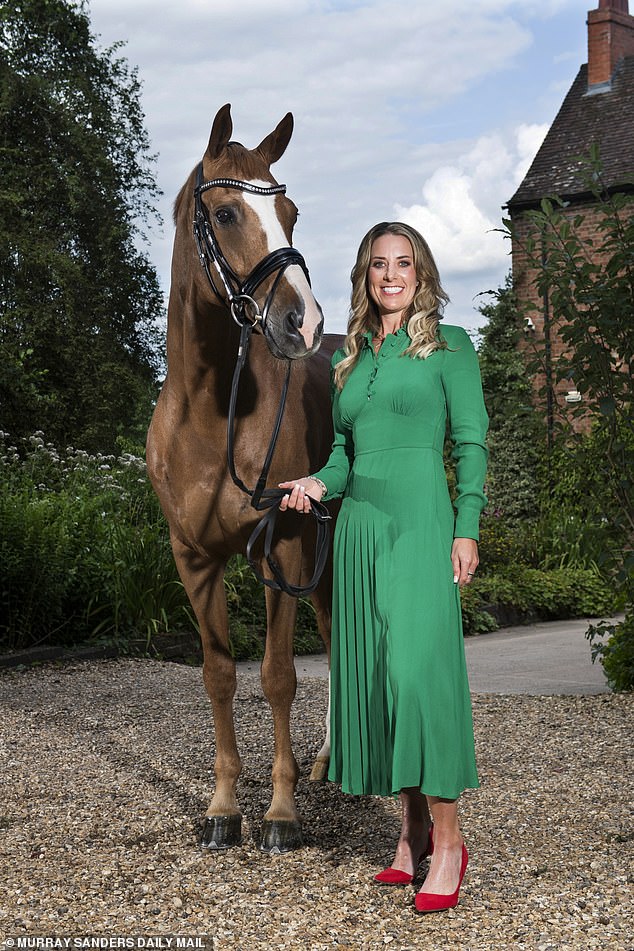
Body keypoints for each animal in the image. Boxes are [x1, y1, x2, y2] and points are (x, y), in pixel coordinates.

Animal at [146, 106, 338, 856]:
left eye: (290, 210)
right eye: (226, 213)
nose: (303, 322)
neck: (209, 411)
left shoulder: (278, 546)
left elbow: (279, 678)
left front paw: (281, 813)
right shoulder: (194, 560)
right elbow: (221, 676)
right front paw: (224, 807)